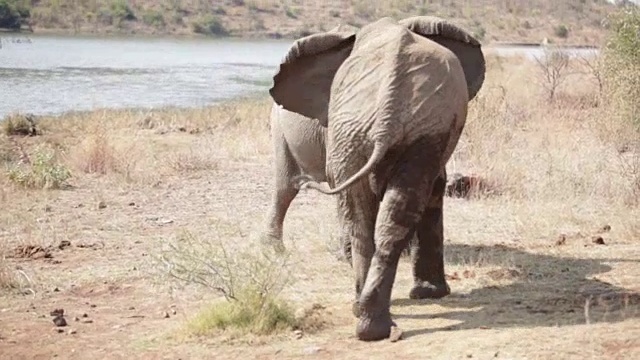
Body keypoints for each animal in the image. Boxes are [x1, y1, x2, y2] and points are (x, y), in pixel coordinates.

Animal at [268, 15, 484, 340]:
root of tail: (386, 115)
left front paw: (429, 293)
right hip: (360, 131)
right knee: (300, 193)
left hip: (382, 130)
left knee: (364, 214)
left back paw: (366, 319)